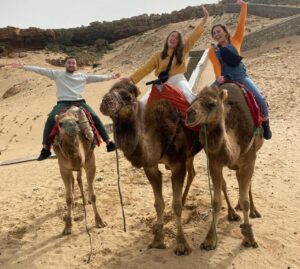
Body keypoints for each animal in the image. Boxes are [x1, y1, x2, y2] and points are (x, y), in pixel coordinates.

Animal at [52, 105, 105, 233]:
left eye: (77, 121)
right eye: (60, 123)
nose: (73, 126)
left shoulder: (90, 162)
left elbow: (93, 195)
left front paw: (99, 221)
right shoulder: (63, 168)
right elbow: (68, 198)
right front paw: (68, 226)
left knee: (79, 179)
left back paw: (85, 201)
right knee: (73, 180)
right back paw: (77, 203)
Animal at [100, 82, 202, 254]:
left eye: (128, 97)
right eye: (108, 92)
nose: (106, 102)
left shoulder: (177, 164)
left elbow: (176, 206)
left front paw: (182, 244)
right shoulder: (150, 167)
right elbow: (158, 204)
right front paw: (157, 241)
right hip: (189, 155)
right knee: (193, 173)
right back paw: (184, 198)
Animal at [186, 84, 264, 249]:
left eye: (211, 104)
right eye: (193, 100)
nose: (189, 114)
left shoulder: (249, 161)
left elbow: (245, 200)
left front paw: (250, 238)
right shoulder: (214, 162)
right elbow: (216, 201)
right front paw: (209, 239)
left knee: (247, 185)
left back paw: (253, 211)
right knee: (226, 184)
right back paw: (232, 213)